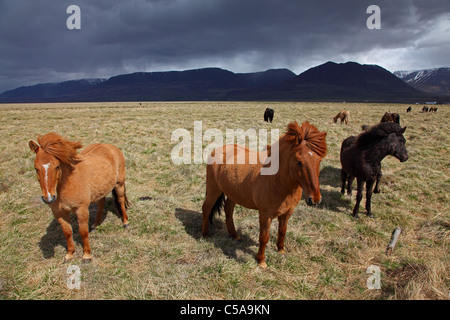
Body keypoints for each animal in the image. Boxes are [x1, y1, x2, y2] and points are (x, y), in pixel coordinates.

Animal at [28, 132, 128, 262]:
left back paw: (125, 222)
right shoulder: (59, 213)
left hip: (119, 184)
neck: (67, 183)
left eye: (57, 166)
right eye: (36, 168)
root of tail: (111, 147)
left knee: (120, 201)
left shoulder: (81, 210)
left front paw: (86, 255)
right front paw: (70, 254)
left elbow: (83, 232)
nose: (49, 198)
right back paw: (96, 224)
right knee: (101, 202)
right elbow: (67, 232)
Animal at [201, 120, 326, 268]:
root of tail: (217, 150)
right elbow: (264, 237)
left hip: (233, 193)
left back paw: (234, 235)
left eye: (319, 161)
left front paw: (281, 250)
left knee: (228, 210)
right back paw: (205, 235)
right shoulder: (265, 214)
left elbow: (282, 231)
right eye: (299, 162)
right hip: (213, 190)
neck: (278, 180)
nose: (315, 199)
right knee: (206, 208)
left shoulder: (287, 212)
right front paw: (261, 261)